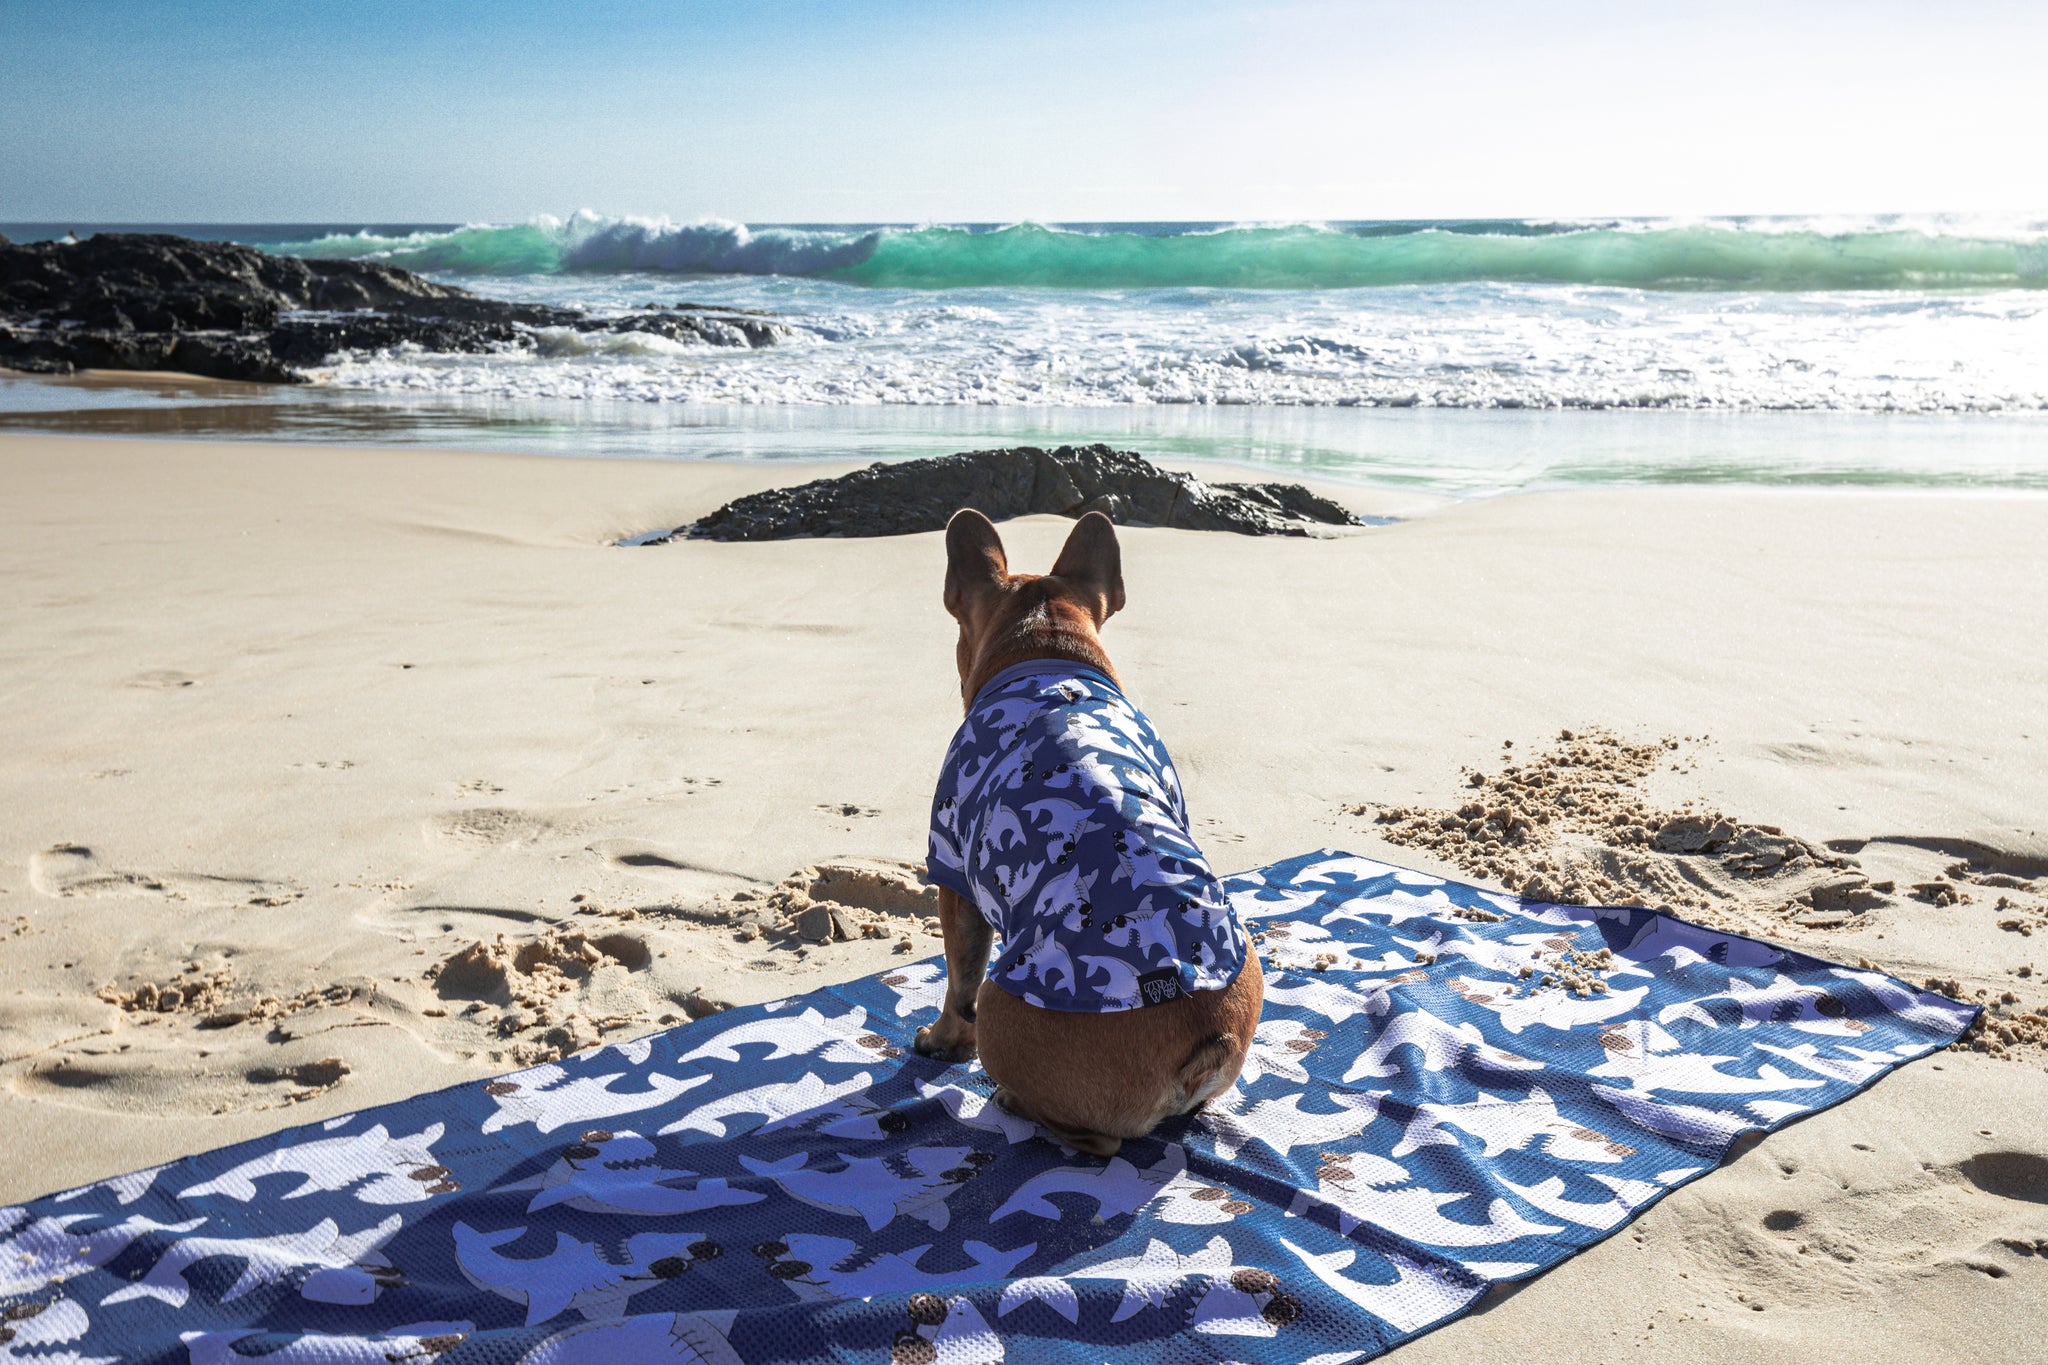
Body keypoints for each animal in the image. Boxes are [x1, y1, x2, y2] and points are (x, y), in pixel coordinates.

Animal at [917, 509, 1261, 1154]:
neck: (1049, 655)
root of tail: (1209, 1041)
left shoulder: (955, 882)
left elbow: (957, 977)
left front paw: (941, 1039)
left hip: (1003, 1011)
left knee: (1098, 1141)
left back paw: (1012, 1101)